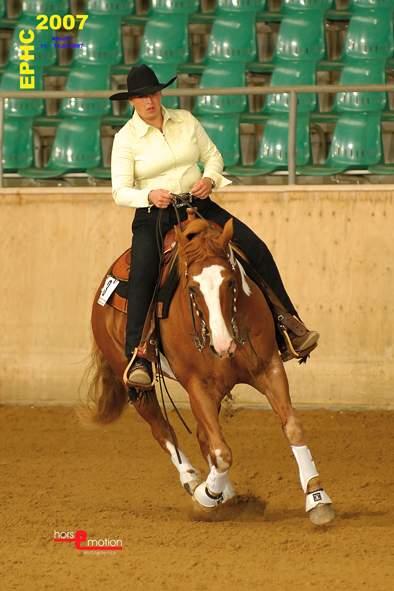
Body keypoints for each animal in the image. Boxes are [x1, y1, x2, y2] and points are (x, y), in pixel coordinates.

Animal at [87, 215, 336, 524]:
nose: (223, 344)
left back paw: (221, 493)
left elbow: (292, 428)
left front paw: (317, 498)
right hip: (136, 386)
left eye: (229, 282)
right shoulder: (198, 385)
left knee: (203, 435)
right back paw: (193, 480)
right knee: (163, 430)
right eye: (192, 289)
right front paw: (205, 497)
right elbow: (221, 452)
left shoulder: (269, 368)